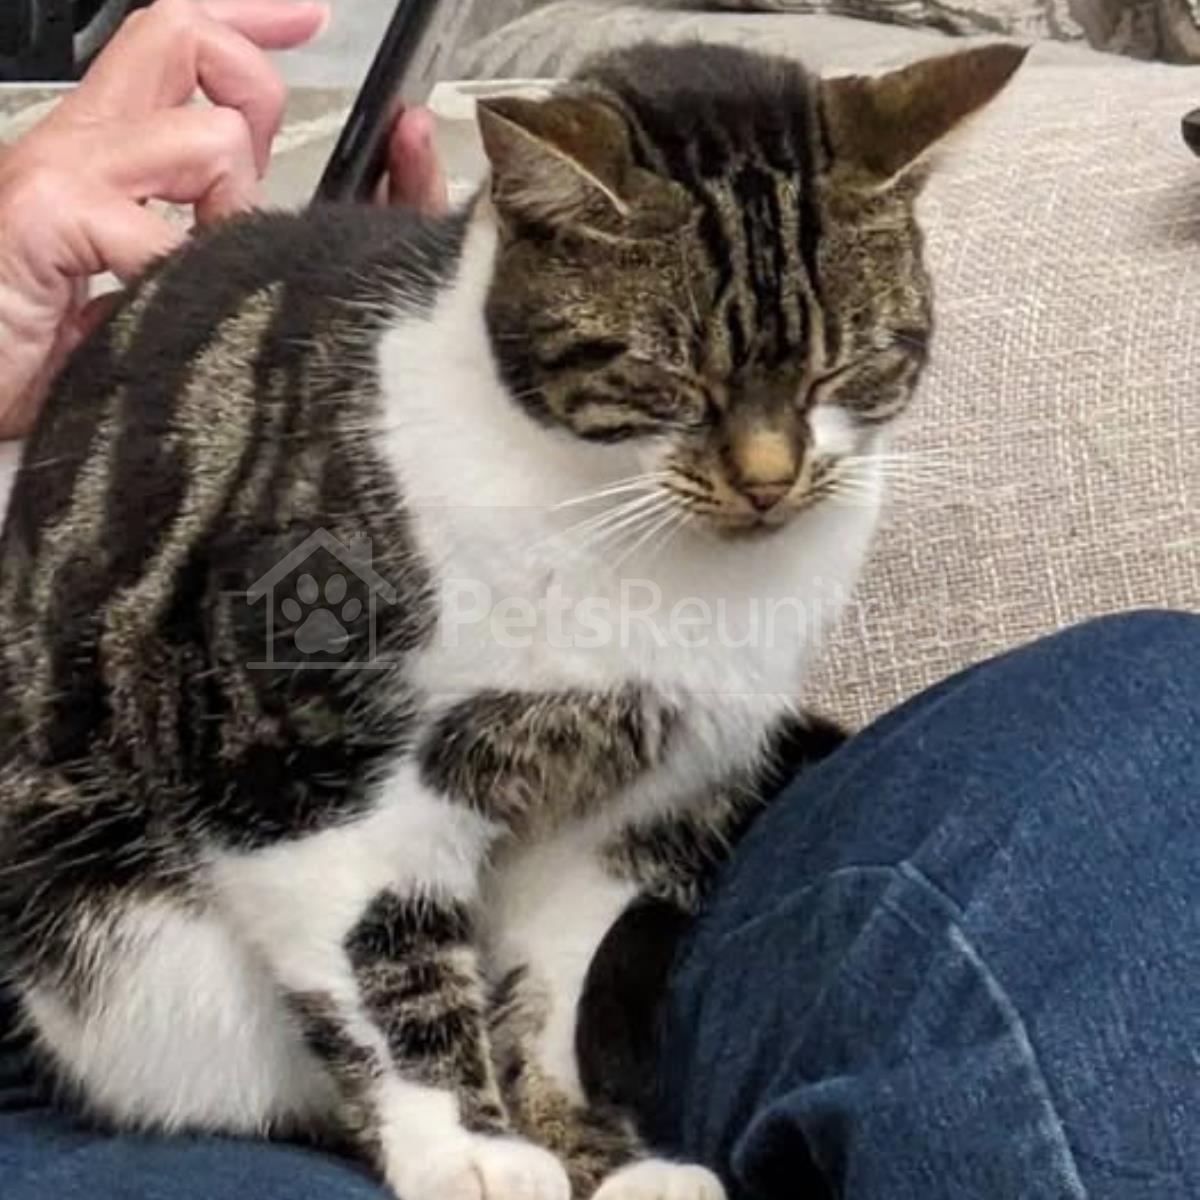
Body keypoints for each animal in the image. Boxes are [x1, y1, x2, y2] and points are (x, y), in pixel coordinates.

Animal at [0, 39, 1024, 1200]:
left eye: (845, 366)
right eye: (668, 375)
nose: (769, 480)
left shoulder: (628, 806)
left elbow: (554, 988)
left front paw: (590, 1152)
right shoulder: (309, 776)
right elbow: (385, 957)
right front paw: (470, 1149)